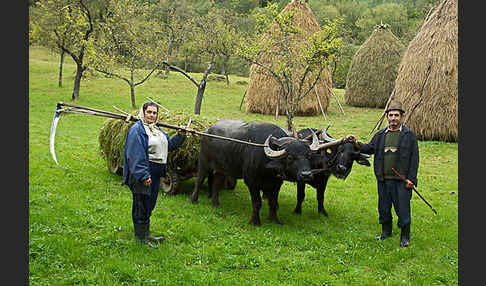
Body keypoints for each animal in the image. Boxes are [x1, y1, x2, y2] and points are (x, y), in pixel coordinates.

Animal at [190, 119, 338, 226]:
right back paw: (194, 199)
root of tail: (207, 131)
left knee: (216, 182)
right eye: (290, 157)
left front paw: (274, 220)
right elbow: (257, 202)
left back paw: (215, 203)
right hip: (204, 163)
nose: (306, 175)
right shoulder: (252, 183)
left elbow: (273, 202)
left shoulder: (276, 184)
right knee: (199, 180)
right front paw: (255, 222)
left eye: (308, 156)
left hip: (222, 169)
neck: (268, 168)